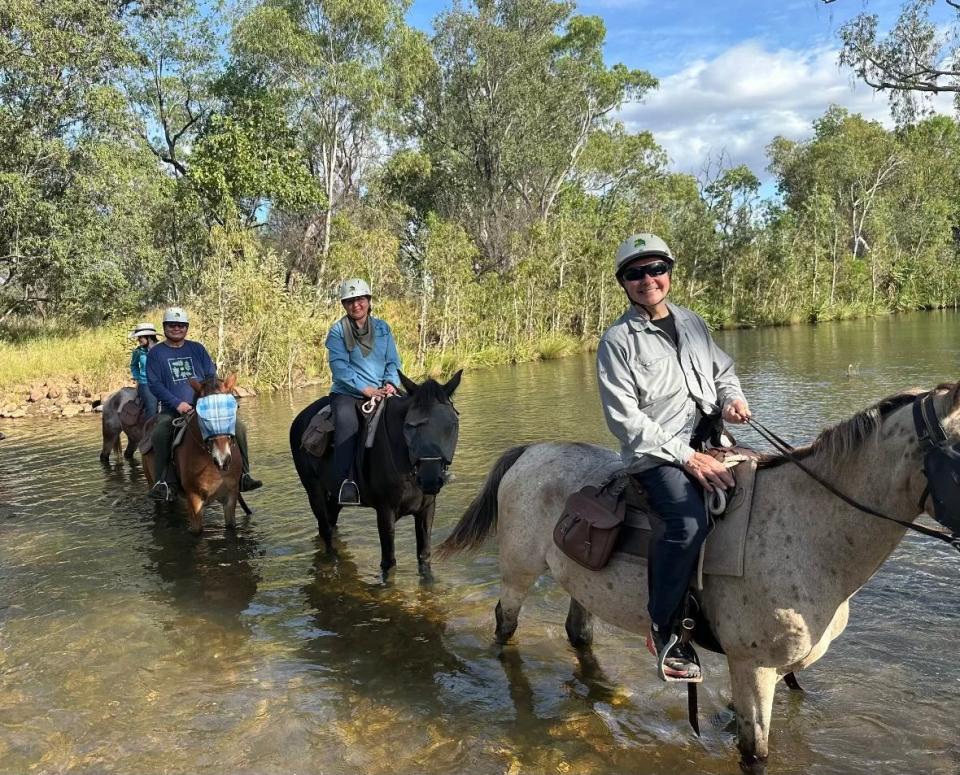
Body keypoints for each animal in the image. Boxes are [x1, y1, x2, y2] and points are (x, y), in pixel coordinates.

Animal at [145, 374, 246, 532]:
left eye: (232, 410)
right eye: (203, 417)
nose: (222, 459)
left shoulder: (231, 496)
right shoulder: (194, 498)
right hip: (151, 482)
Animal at [288, 372, 462, 584]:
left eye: (452, 425)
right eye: (409, 426)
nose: (430, 479)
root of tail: (299, 419)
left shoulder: (426, 510)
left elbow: (424, 556)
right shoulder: (385, 512)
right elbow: (389, 562)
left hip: (335, 497)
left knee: (330, 526)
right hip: (314, 492)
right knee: (326, 531)